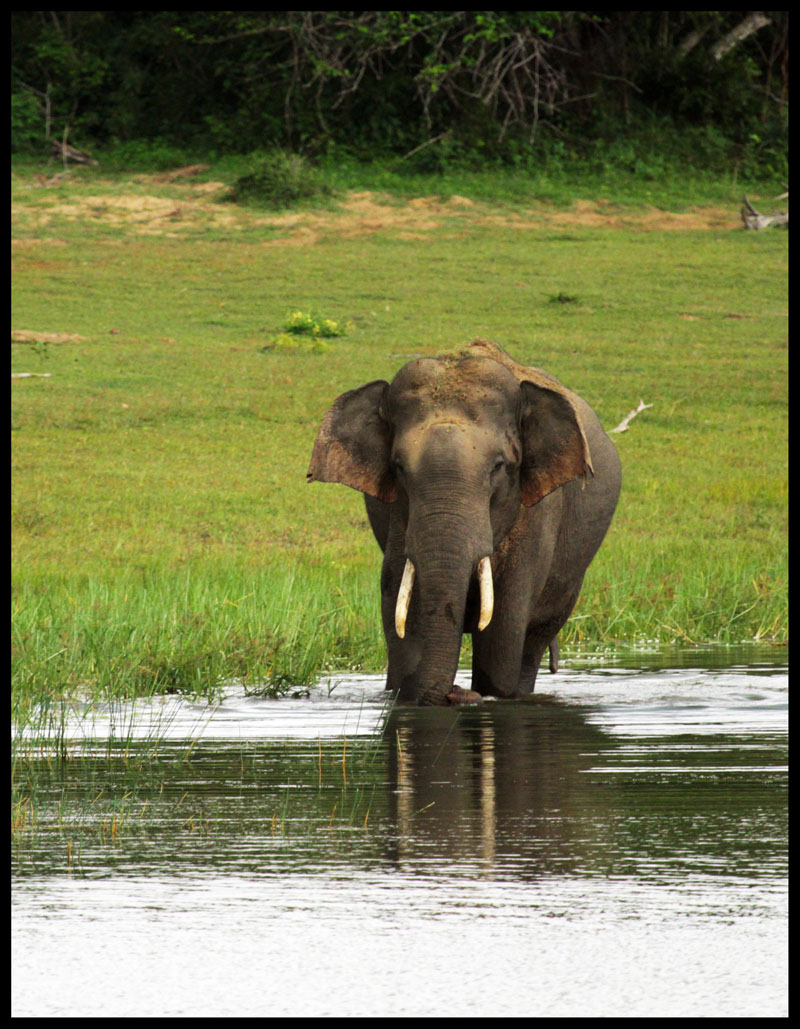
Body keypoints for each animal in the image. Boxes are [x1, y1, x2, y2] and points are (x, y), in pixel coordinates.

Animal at [308, 339, 621, 707]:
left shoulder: (537, 517)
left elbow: (503, 631)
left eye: (499, 466)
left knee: (532, 644)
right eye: (398, 467)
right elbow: (399, 608)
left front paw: (489, 694)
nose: (455, 693)